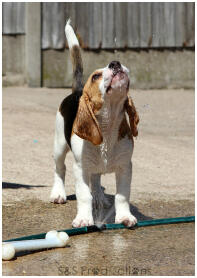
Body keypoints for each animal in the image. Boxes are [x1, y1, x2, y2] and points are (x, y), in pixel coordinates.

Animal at [50, 20, 139, 228]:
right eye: (96, 76)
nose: (115, 63)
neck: (108, 125)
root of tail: (77, 91)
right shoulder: (81, 168)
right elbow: (84, 195)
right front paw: (84, 218)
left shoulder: (125, 167)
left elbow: (122, 196)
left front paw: (124, 217)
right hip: (59, 146)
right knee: (60, 169)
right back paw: (58, 193)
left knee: (96, 178)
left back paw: (98, 196)